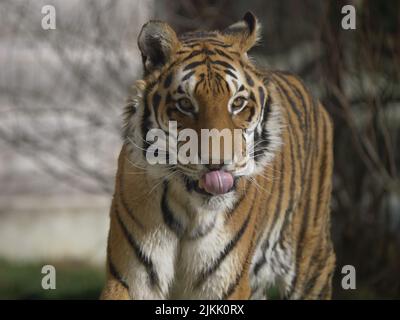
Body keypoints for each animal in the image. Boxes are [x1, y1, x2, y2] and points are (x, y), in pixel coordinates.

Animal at [100, 10, 334, 300]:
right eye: (185, 104)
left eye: (238, 103)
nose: (218, 163)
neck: (188, 212)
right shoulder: (132, 280)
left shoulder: (223, 283)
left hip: (311, 259)